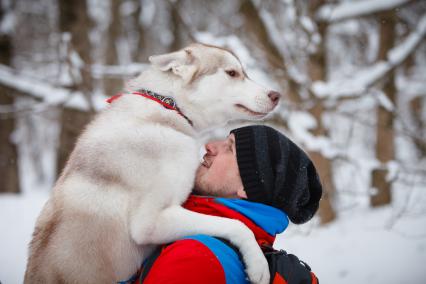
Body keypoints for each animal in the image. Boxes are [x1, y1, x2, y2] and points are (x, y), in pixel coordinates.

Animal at [25, 43, 282, 282]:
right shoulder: (150, 222)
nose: (276, 95)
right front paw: (258, 264)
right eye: (232, 73)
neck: (169, 108)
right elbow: (237, 225)